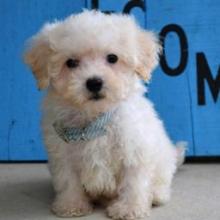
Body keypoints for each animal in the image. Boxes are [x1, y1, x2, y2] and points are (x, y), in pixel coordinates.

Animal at [24, 10, 186, 220]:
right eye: (71, 63)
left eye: (112, 58)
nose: (94, 82)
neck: (95, 119)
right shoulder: (62, 154)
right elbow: (68, 181)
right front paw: (71, 205)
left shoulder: (135, 149)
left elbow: (134, 182)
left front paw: (129, 208)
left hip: (163, 161)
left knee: (162, 181)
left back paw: (157, 194)